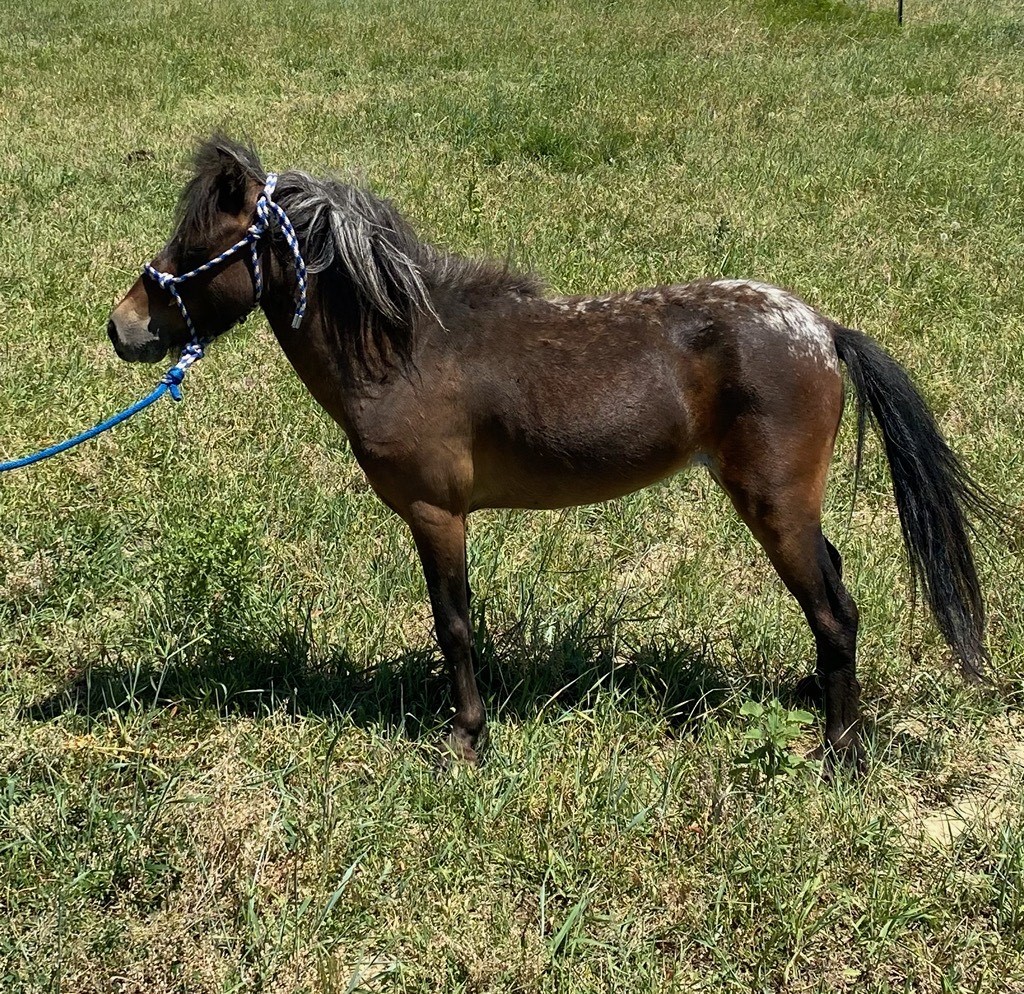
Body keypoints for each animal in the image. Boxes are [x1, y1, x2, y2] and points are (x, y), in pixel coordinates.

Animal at [107, 135, 997, 768]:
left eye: (196, 248)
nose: (122, 327)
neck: (409, 347)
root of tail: (823, 331)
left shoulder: (437, 514)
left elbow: (454, 624)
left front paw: (467, 738)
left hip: (774, 504)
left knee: (833, 608)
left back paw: (842, 752)